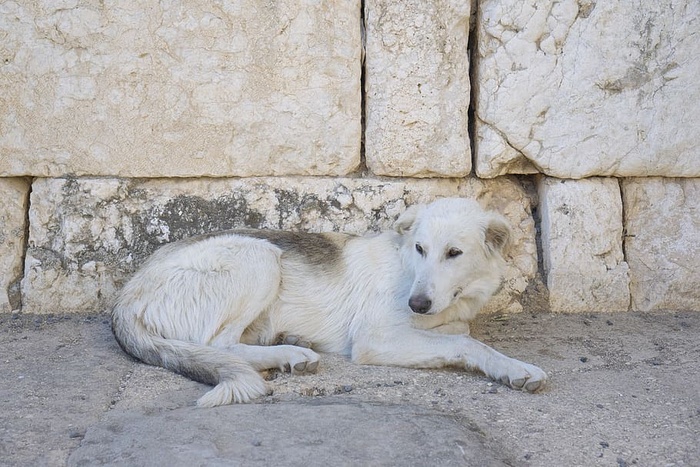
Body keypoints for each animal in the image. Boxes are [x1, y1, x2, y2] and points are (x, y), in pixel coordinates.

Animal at [112, 199, 548, 408]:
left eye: (454, 253)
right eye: (421, 248)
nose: (417, 304)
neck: (406, 266)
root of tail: (127, 293)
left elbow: (458, 331)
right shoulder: (374, 339)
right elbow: (466, 342)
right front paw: (515, 368)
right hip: (260, 256)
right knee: (218, 345)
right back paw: (290, 353)